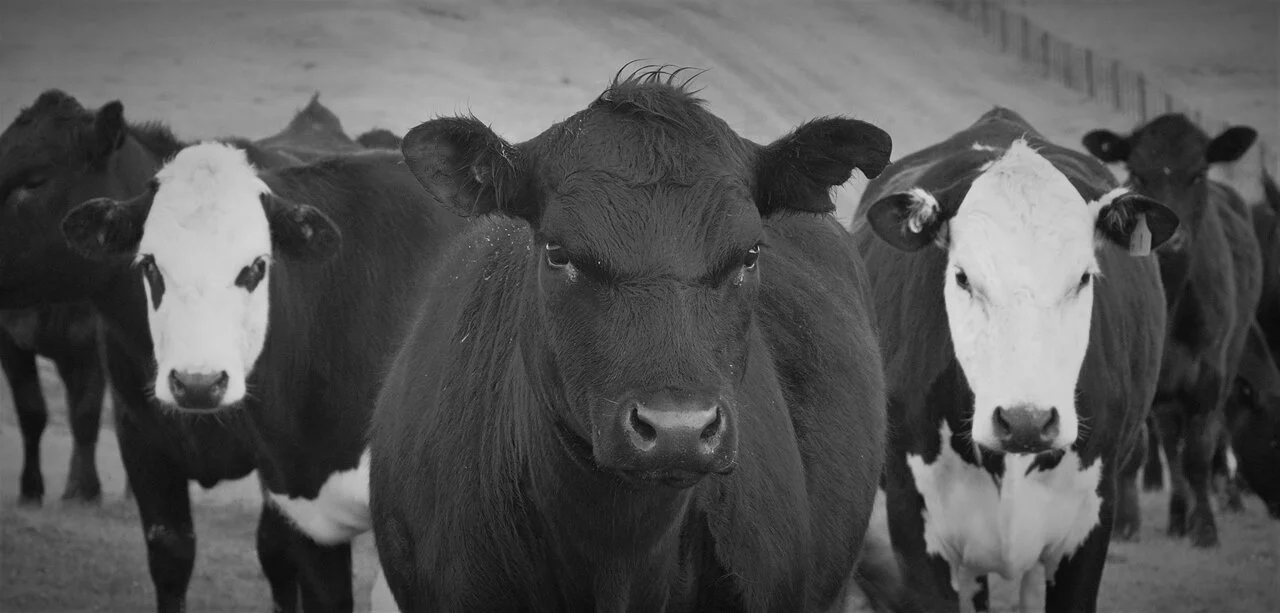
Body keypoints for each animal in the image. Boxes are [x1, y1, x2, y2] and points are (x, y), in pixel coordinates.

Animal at [2, 302, 108, 505]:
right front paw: (30, 490)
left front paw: (90, 490)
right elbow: (31, 414)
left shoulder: (91, 341)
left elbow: (85, 417)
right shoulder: (11, 340)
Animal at [1083, 114, 1263, 547]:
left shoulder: (1209, 375)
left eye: (1198, 174)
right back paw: (1177, 515)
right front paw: (1126, 522)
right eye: (1138, 174)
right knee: (1167, 440)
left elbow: (1198, 452)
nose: (1171, 239)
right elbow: (1140, 453)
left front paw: (1206, 528)